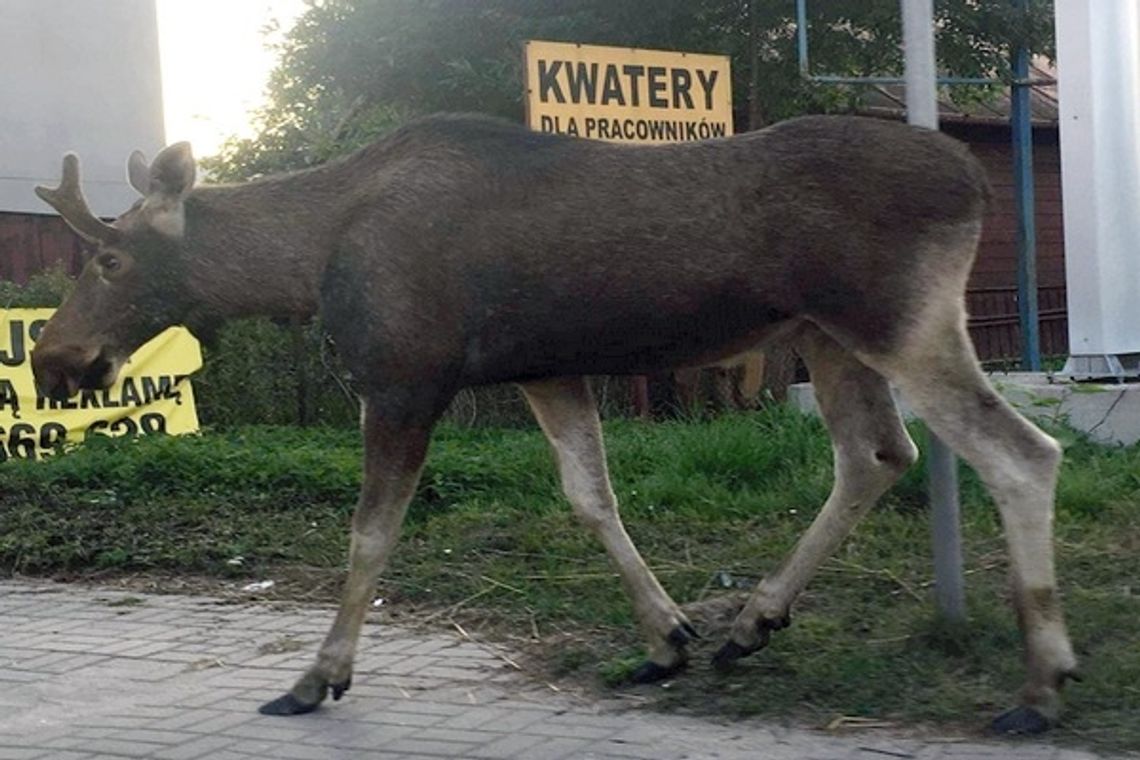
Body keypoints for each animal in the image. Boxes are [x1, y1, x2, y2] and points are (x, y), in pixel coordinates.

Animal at [28, 112, 1076, 729]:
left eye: (110, 259)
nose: (51, 357)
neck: (306, 266)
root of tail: (976, 180)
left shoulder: (405, 378)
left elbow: (370, 534)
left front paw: (317, 676)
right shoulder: (546, 370)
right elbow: (590, 497)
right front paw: (667, 638)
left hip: (896, 318)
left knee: (1021, 453)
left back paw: (1041, 681)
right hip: (828, 334)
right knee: (875, 455)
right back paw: (751, 621)